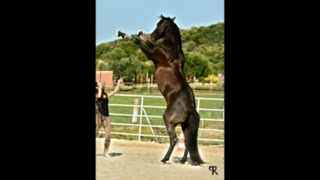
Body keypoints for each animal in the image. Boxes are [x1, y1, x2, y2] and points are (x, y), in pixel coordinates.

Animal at [117, 15, 202, 165]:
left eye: (159, 24)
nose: (152, 35)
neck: (171, 52)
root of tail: (191, 108)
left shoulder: (151, 54)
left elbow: (138, 43)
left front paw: (129, 36)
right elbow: (146, 42)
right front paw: (136, 34)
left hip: (169, 120)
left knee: (174, 139)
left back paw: (165, 159)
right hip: (185, 125)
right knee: (187, 141)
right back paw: (182, 160)